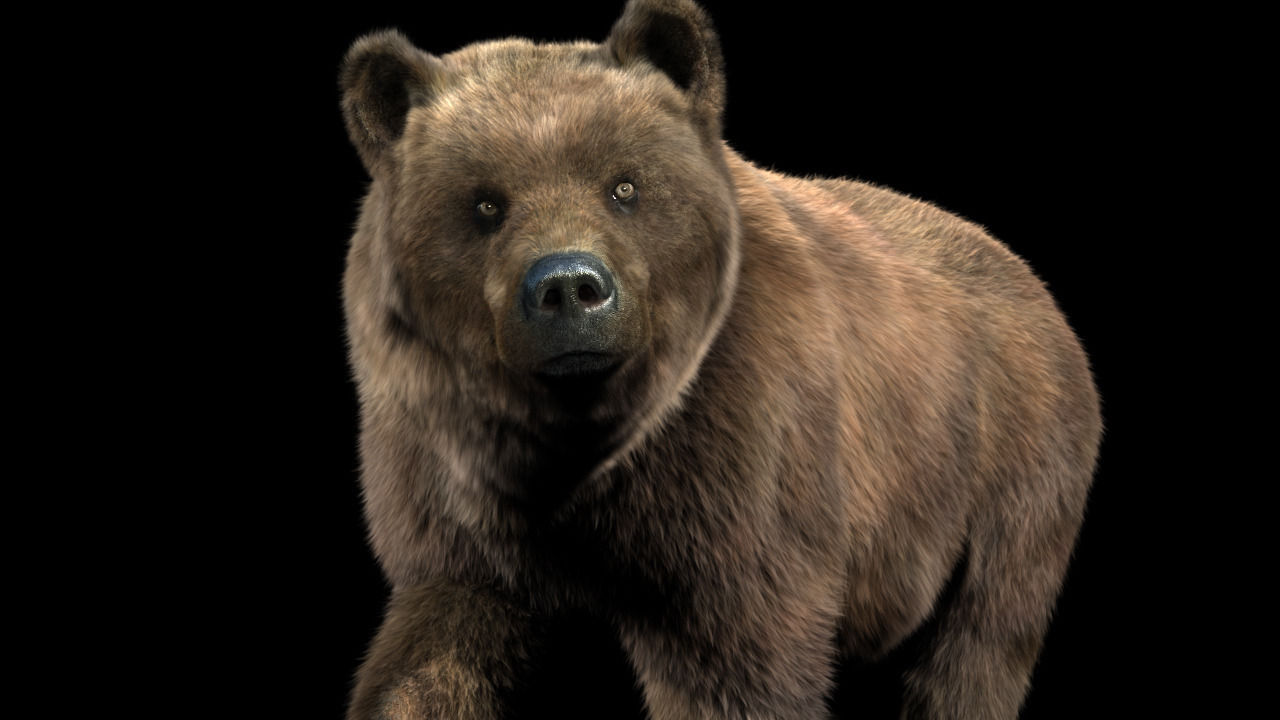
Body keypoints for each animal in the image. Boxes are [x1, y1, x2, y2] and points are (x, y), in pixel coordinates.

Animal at [338, 1, 1101, 718]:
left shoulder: (737, 476)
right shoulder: (452, 498)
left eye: (624, 185)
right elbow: (433, 652)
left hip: (1006, 471)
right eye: (485, 203)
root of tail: (1028, 277)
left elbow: (741, 658)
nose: (569, 288)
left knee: (976, 645)